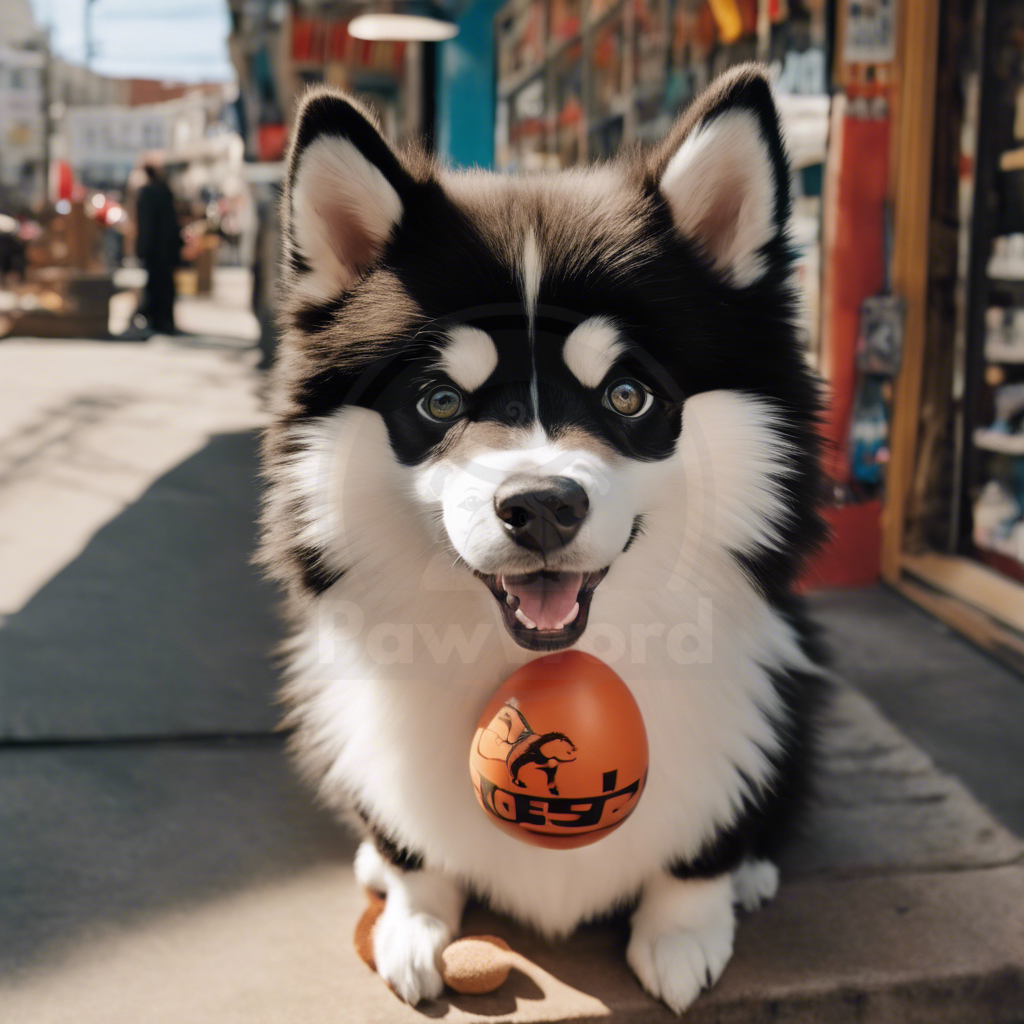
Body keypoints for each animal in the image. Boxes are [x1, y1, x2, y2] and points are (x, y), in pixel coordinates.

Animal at [260, 66, 827, 1015]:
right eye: (440, 401)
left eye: (630, 395)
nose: (540, 507)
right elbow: (417, 850)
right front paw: (414, 917)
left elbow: (702, 840)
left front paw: (684, 928)